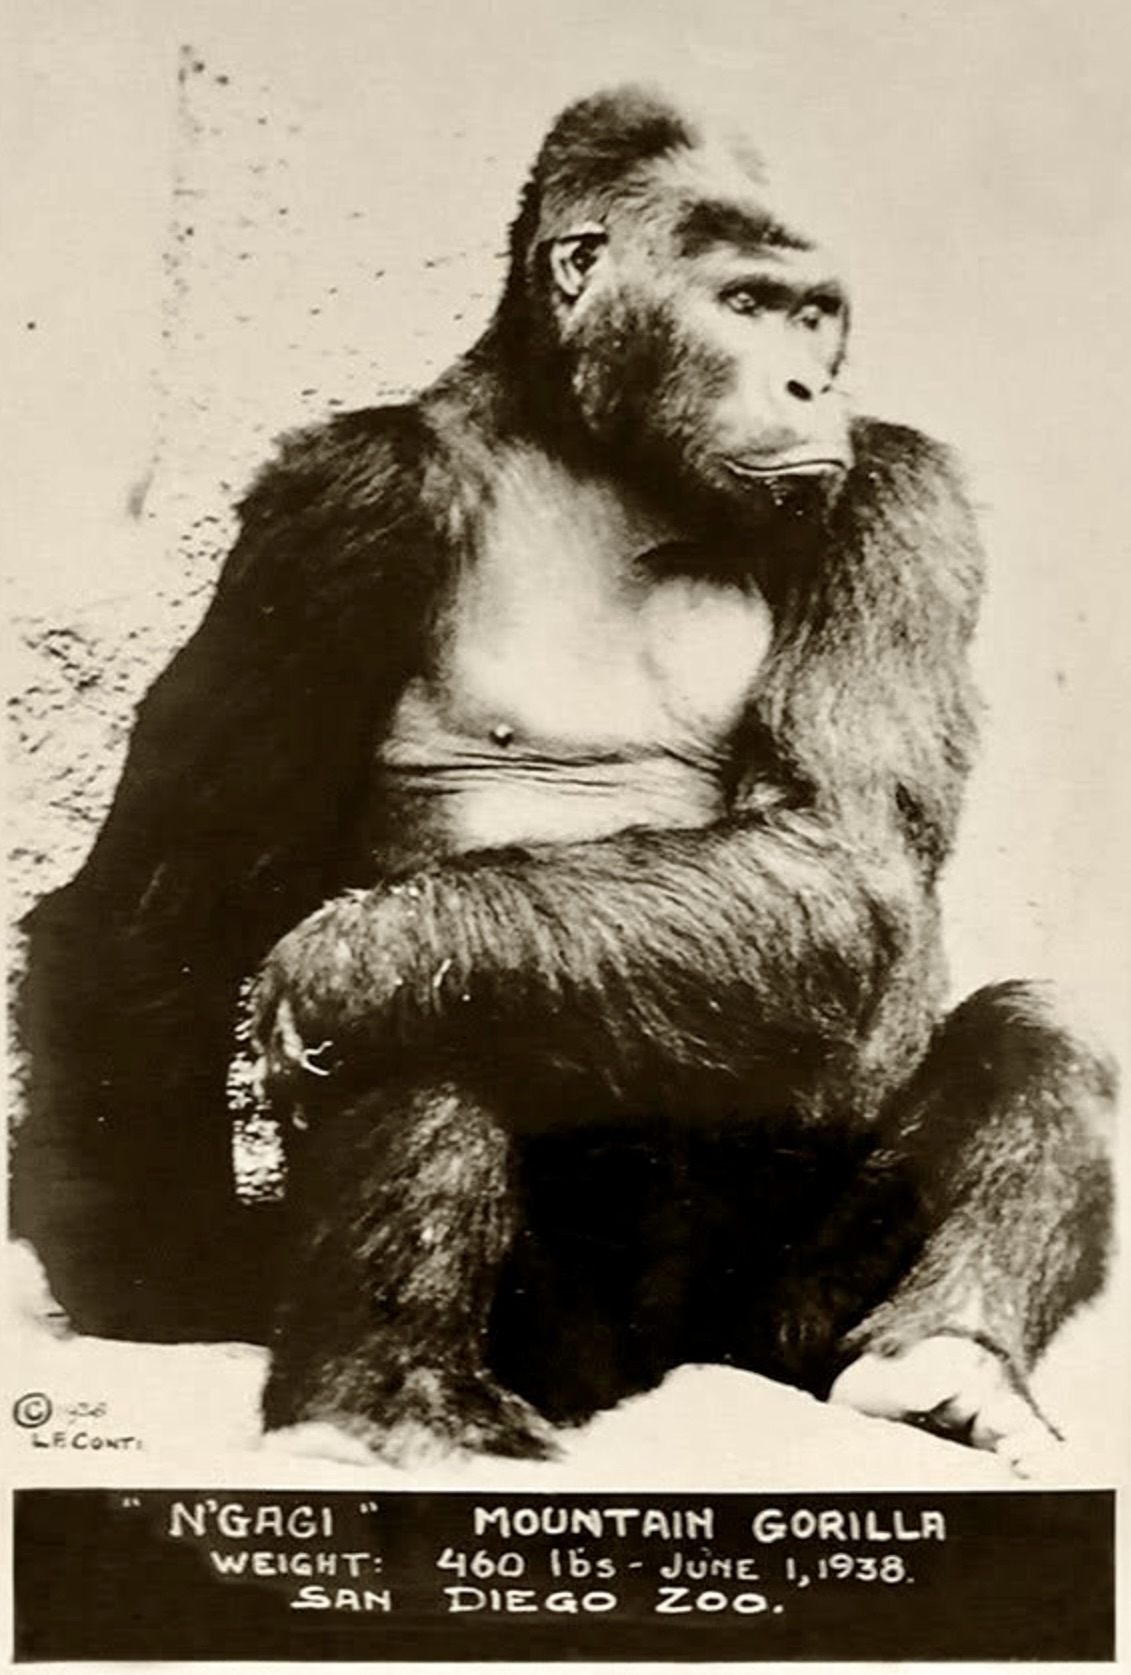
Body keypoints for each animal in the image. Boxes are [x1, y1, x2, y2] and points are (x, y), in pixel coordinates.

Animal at [15, 85, 1115, 1471]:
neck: (593, 451)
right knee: (429, 1013)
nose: (811, 380)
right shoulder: (339, 502)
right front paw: (168, 1277)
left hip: (773, 1331)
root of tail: (669, 1363)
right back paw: (382, 1409)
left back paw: (947, 1369)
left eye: (816, 313)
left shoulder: (901, 489)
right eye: (745, 304)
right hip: (561, 1349)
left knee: (1037, 1026)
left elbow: (842, 850)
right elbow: (161, 900)